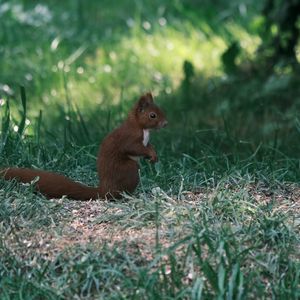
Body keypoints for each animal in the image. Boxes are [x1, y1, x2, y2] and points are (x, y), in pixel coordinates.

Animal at [0, 92, 168, 200]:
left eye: (161, 110)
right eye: (152, 115)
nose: (166, 123)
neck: (141, 128)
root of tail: (105, 190)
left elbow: (148, 146)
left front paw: (154, 154)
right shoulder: (129, 137)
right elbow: (134, 147)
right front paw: (151, 154)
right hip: (130, 169)